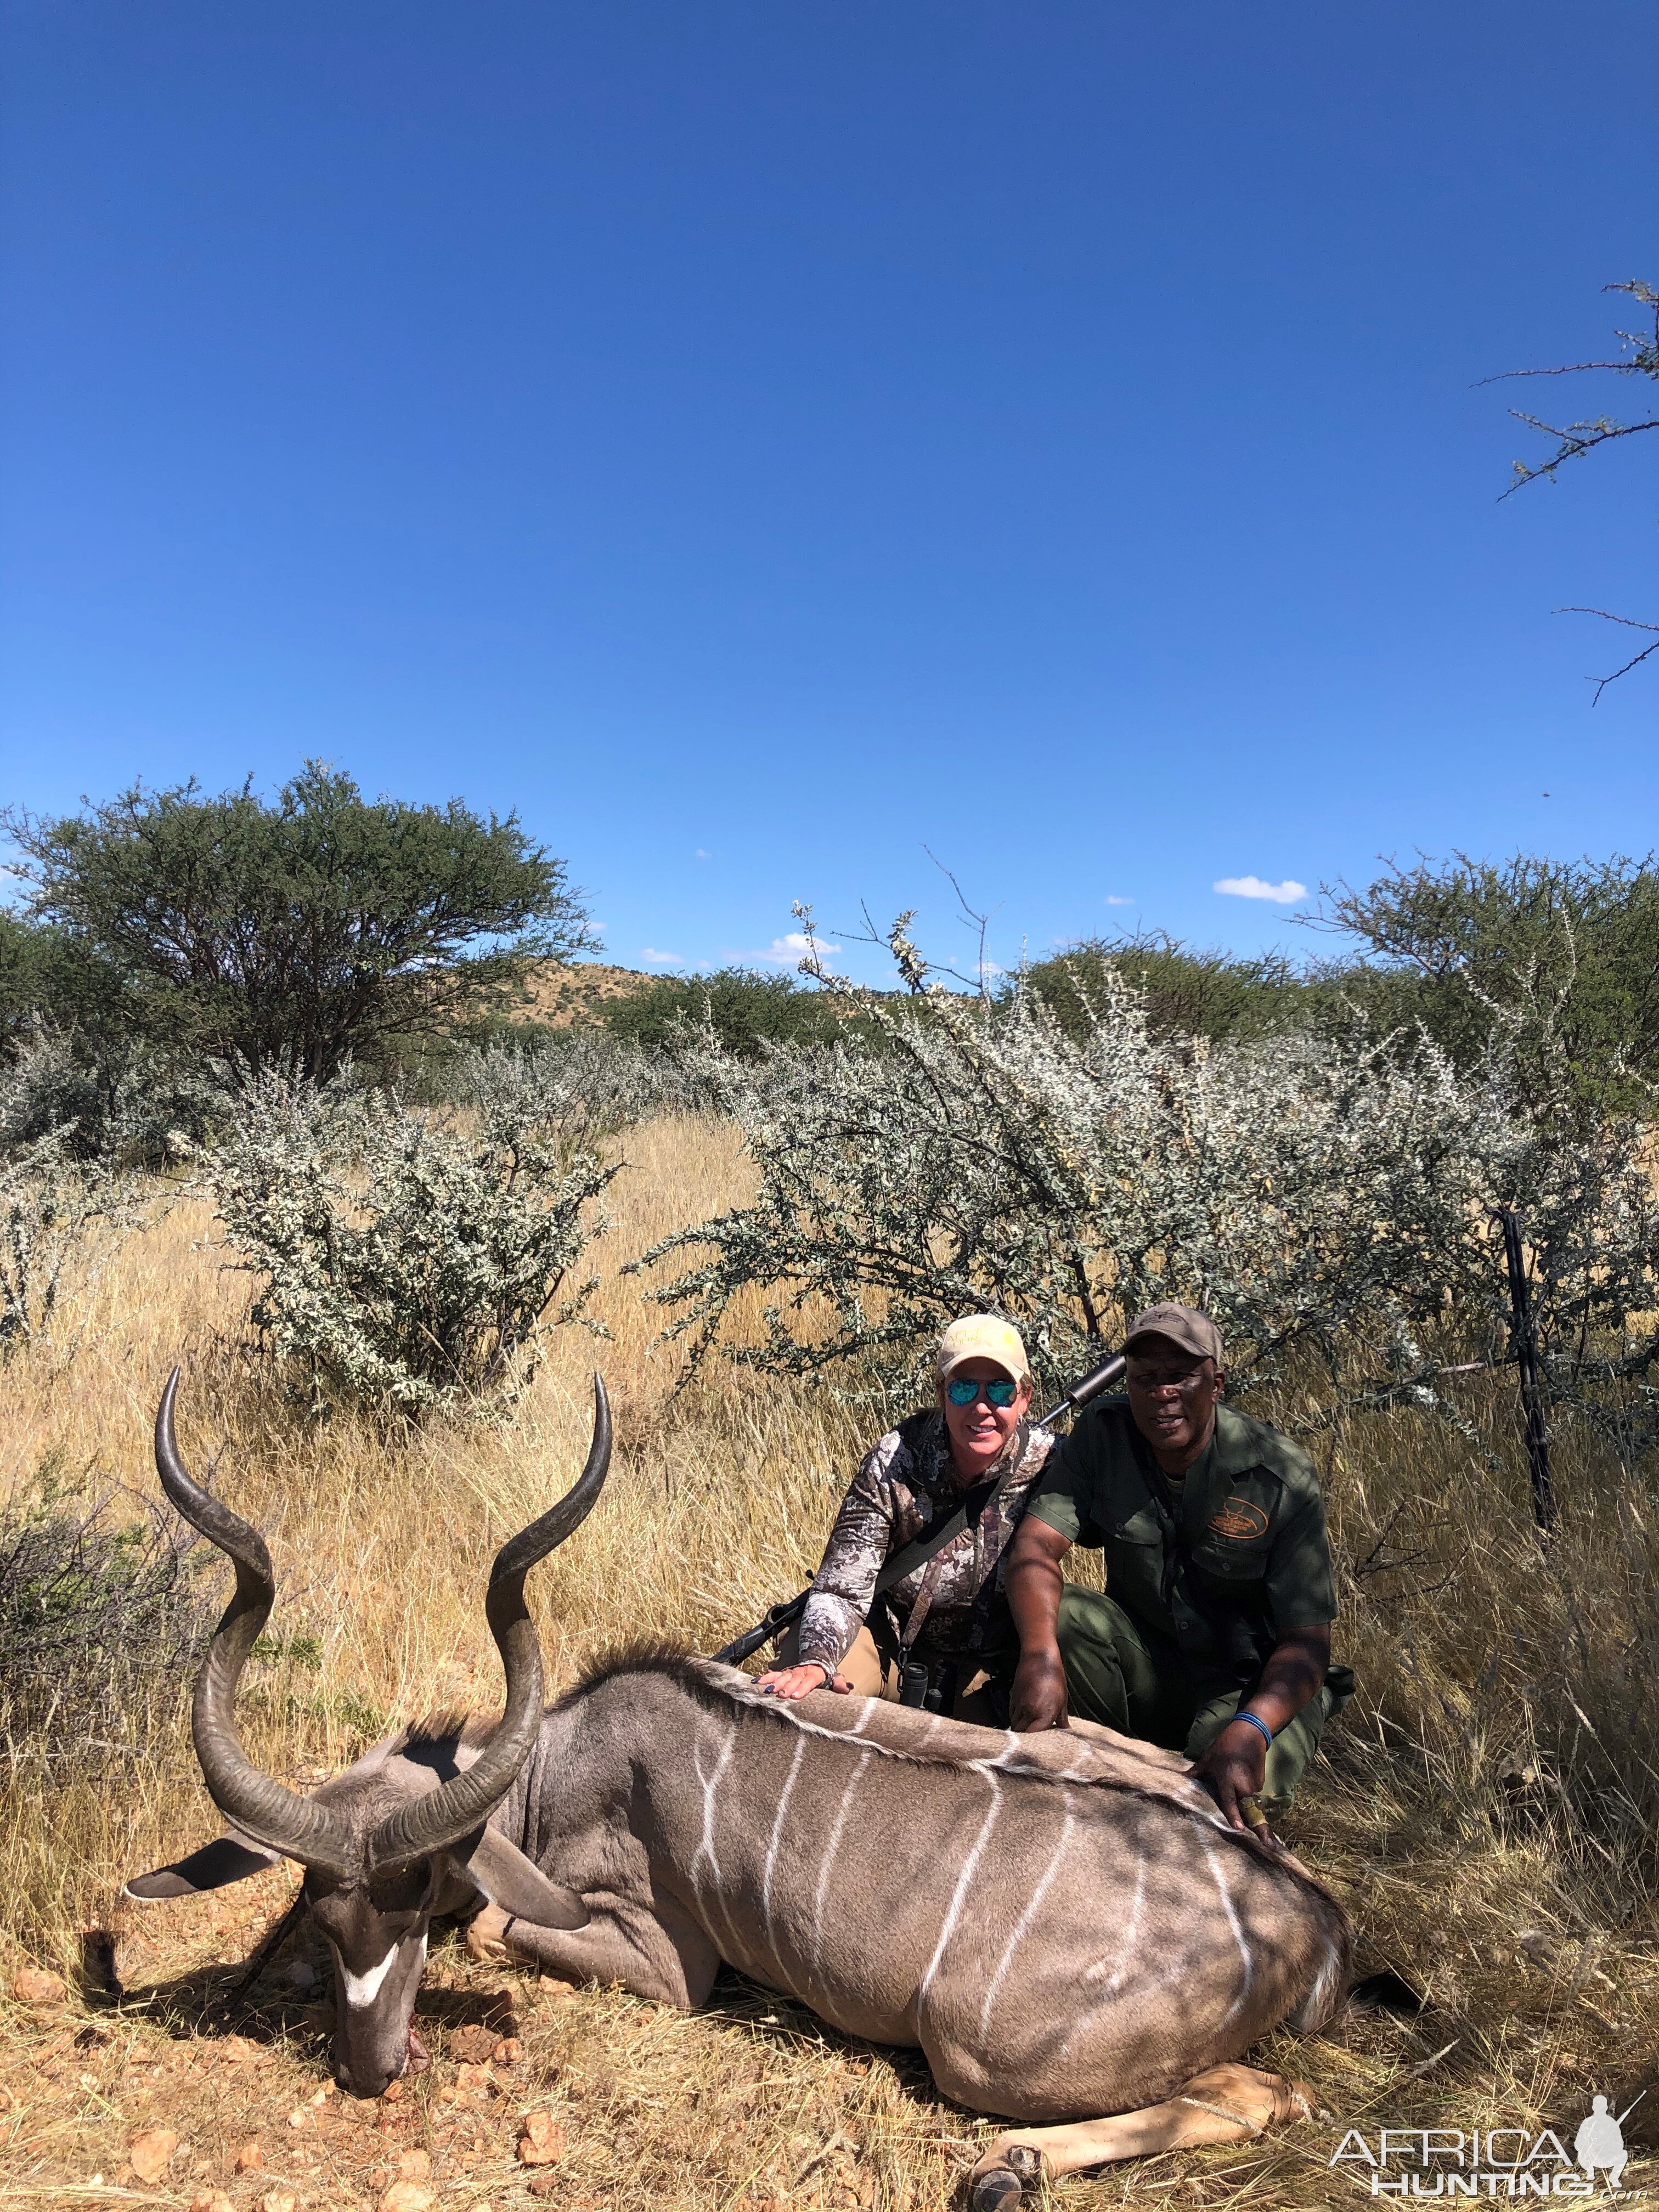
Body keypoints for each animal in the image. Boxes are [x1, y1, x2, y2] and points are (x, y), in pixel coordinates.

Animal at [129, 1371, 1353, 2203]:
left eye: (422, 1897)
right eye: (322, 1909)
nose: (372, 2069)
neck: (559, 1763)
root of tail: (1312, 1921)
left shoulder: (668, 1962)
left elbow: (500, 1933)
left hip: (976, 2047)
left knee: (1267, 2092)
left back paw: (1005, 2165)